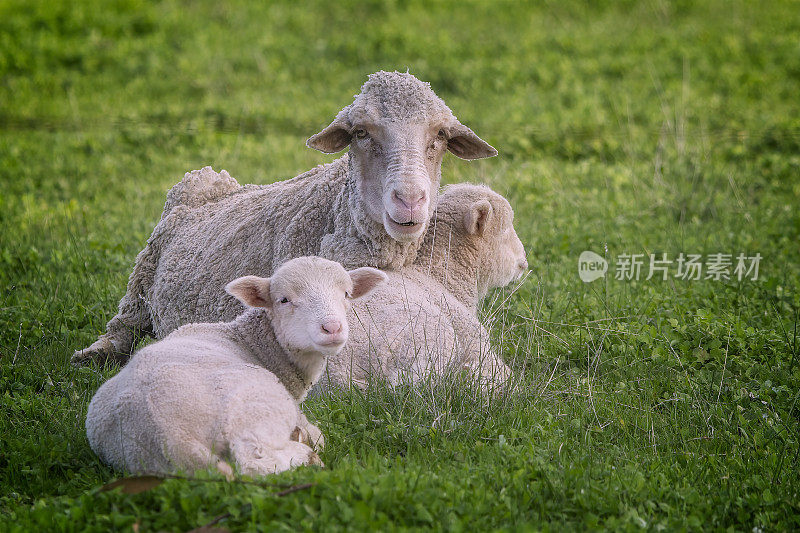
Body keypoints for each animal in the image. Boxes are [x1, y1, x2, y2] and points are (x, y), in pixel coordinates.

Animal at [72, 70, 496, 366]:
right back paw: (96, 353)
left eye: (440, 136)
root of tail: (213, 178)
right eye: (361, 133)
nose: (409, 200)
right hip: (143, 272)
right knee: (125, 324)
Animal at [85, 256, 388, 476]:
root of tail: (172, 437)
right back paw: (306, 455)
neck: (250, 341)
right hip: (253, 406)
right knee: (251, 460)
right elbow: (319, 434)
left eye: (347, 294)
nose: (332, 328)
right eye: (284, 300)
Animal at [316, 183, 528, 390]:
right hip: (425, 338)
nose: (524, 261)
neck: (441, 276)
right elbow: (503, 373)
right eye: (505, 229)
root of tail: (337, 375)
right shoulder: (471, 335)